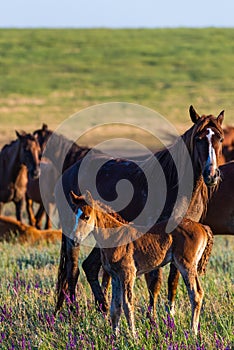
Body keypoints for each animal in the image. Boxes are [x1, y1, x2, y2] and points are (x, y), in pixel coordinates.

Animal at [54, 105, 224, 314]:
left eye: (220, 138)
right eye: (199, 139)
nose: (211, 174)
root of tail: (67, 173)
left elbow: (173, 280)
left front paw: (170, 314)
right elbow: (155, 281)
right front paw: (153, 316)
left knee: (89, 267)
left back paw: (103, 308)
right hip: (74, 234)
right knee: (73, 270)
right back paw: (74, 311)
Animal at [70, 190, 213, 338]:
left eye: (86, 217)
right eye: (74, 216)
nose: (74, 239)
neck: (115, 237)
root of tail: (202, 227)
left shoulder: (128, 274)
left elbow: (127, 304)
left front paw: (133, 336)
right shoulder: (115, 277)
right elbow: (115, 308)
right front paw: (115, 337)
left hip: (186, 265)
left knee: (195, 294)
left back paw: (192, 332)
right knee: (198, 293)